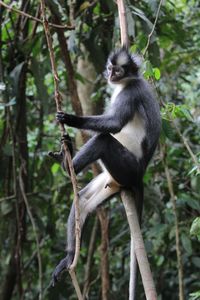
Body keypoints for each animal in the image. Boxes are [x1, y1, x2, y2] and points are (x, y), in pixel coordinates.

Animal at [51, 47, 161, 286]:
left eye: (118, 70)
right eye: (110, 68)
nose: (111, 75)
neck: (127, 82)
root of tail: (140, 174)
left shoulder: (131, 92)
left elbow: (115, 125)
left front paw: (71, 118)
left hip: (126, 168)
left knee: (103, 140)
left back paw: (67, 166)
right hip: (112, 179)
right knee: (82, 200)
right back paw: (69, 258)